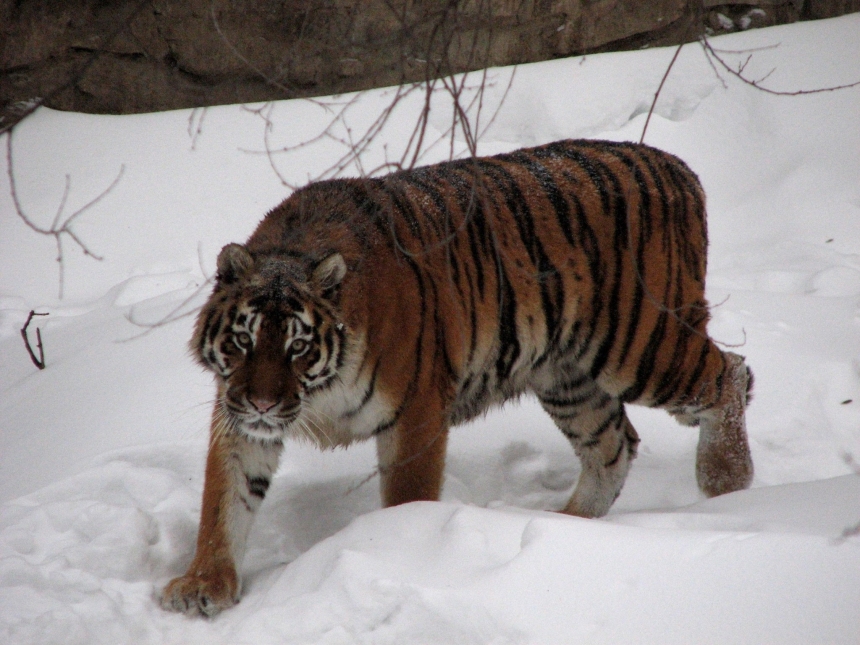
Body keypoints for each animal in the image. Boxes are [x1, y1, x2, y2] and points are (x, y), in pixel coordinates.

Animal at [161, 140, 752, 612]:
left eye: (298, 347)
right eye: (243, 341)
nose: (263, 404)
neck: (319, 393)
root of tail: (678, 167)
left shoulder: (414, 411)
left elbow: (407, 496)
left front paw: (401, 554)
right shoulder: (234, 415)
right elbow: (224, 500)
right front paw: (203, 585)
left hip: (640, 344)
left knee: (732, 374)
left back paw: (727, 482)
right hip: (568, 376)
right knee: (614, 446)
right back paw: (569, 526)